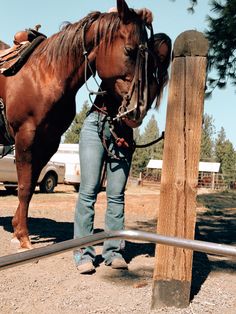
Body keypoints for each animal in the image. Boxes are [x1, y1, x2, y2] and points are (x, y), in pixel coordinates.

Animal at [0, 0, 155, 250]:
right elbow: (23, 187)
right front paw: (22, 236)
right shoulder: (25, 137)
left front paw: (17, 229)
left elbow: (31, 185)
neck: (47, 74)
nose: (138, 109)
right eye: (129, 50)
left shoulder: (48, 142)